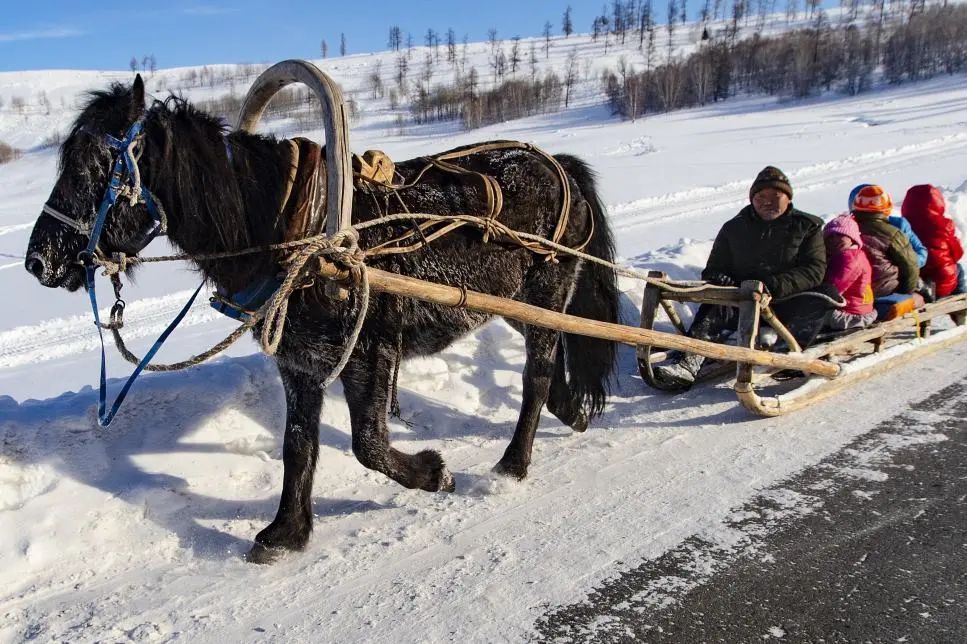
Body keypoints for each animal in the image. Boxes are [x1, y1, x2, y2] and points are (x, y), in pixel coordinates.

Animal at [24, 74, 620, 560]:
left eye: (92, 167)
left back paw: (512, 464)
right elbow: (297, 445)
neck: (295, 234)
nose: (37, 261)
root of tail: (559, 165)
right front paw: (287, 532)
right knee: (554, 356)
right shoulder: (299, 361)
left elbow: (368, 446)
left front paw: (434, 473)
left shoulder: (370, 352)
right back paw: (571, 411)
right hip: (512, 303)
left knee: (536, 375)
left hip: (546, 294)